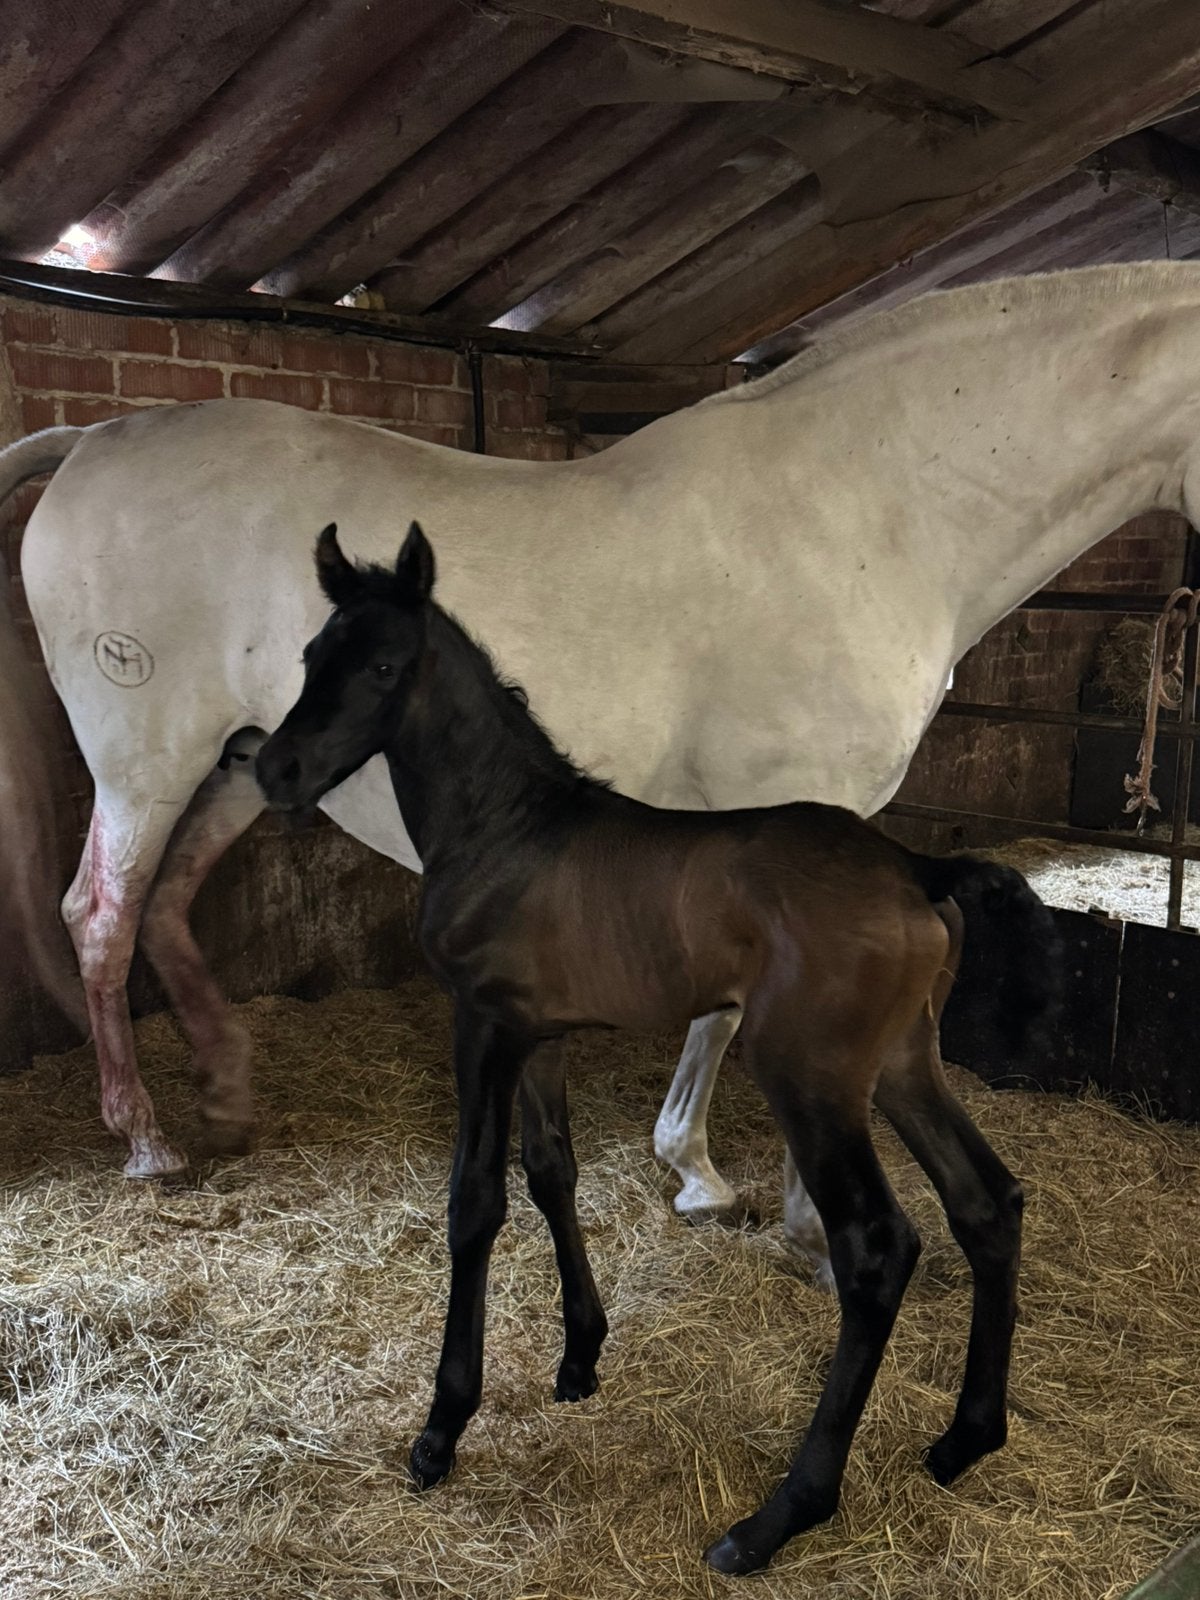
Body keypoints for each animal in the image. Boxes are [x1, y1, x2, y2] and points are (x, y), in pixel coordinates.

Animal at [4, 262, 1198, 1284]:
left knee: (166, 911)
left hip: (248, 763)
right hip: (146, 762)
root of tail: (91, 439)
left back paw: (227, 1097)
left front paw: (702, 1175)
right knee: (102, 918)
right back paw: (147, 1142)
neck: (868, 509)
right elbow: (739, 1015)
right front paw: (768, 1207)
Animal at [255, 520, 1058, 1576]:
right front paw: (580, 1356)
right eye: (313, 655)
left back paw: (779, 1516)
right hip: (900, 1065)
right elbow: (551, 1171)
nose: (273, 770)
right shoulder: (540, 1034)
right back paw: (966, 1438)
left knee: (880, 1246)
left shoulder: (483, 1024)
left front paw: (442, 1429)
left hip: (811, 1077)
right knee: (986, 1201)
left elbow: (475, 1202)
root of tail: (915, 866)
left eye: (384, 665)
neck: (505, 827)